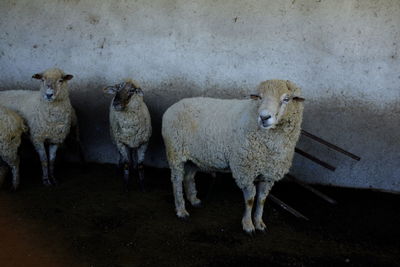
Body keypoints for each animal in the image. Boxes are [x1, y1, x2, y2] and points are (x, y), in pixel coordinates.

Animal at [161, 79, 304, 234]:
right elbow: (250, 199)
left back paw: (194, 200)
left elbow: (261, 199)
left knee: (188, 177)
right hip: (175, 152)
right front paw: (248, 225)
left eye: (287, 99)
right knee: (176, 180)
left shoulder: (268, 174)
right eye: (259, 97)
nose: (264, 117)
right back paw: (181, 210)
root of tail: (174, 106)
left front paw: (259, 223)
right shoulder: (245, 170)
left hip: (195, 157)